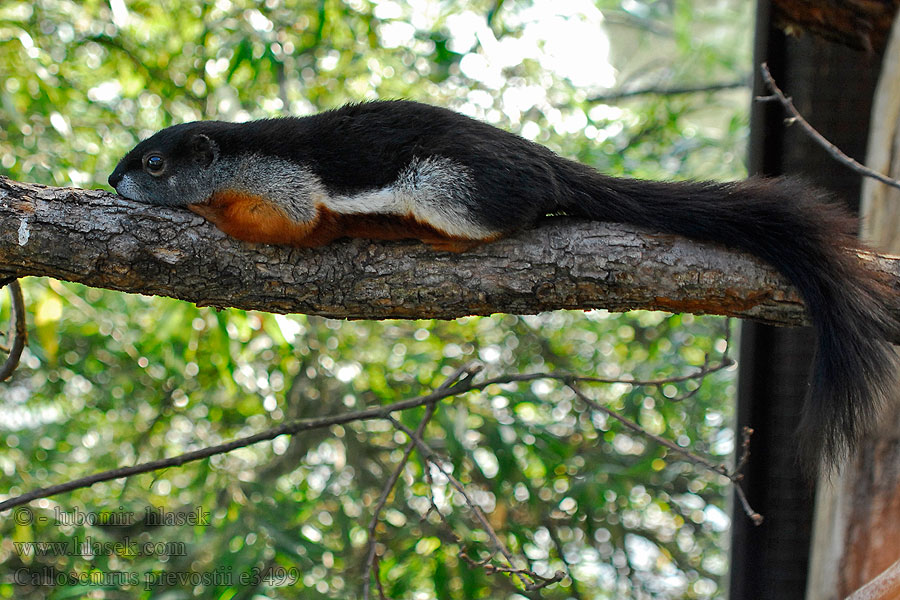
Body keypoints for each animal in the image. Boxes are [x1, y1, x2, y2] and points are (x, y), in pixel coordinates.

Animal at [109, 99, 896, 474]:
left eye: (153, 162)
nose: (113, 179)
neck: (240, 152)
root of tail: (547, 164)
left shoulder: (285, 181)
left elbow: (291, 222)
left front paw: (210, 211)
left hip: (447, 183)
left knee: (509, 217)